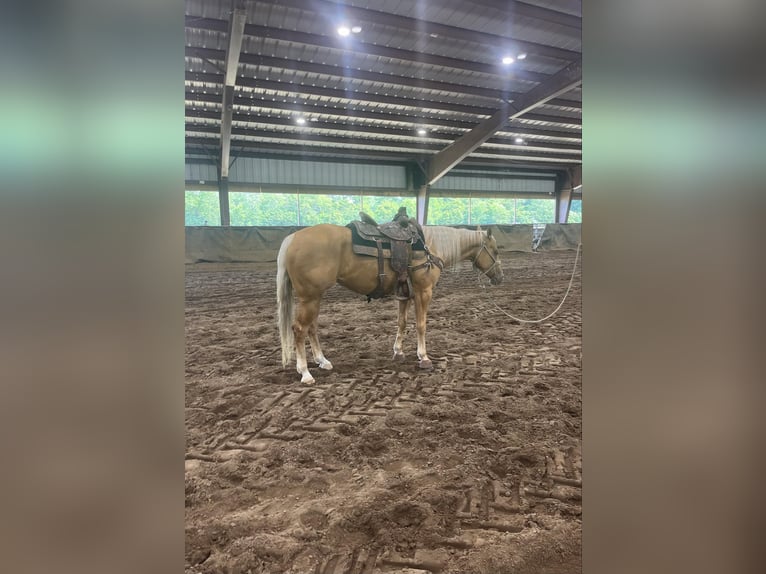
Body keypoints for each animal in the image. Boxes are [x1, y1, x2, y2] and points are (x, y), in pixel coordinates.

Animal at [277, 223, 504, 384]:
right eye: (495, 250)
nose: (500, 278)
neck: (430, 248)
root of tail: (292, 238)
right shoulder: (423, 292)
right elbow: (421, 325)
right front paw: (424, 357)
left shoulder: (404, 294)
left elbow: (402, 323)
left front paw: (398, 352)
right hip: (310, 298)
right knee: (299, 329)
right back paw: (305, 372)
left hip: (315, 297)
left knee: (311, 328)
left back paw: (322, 361)